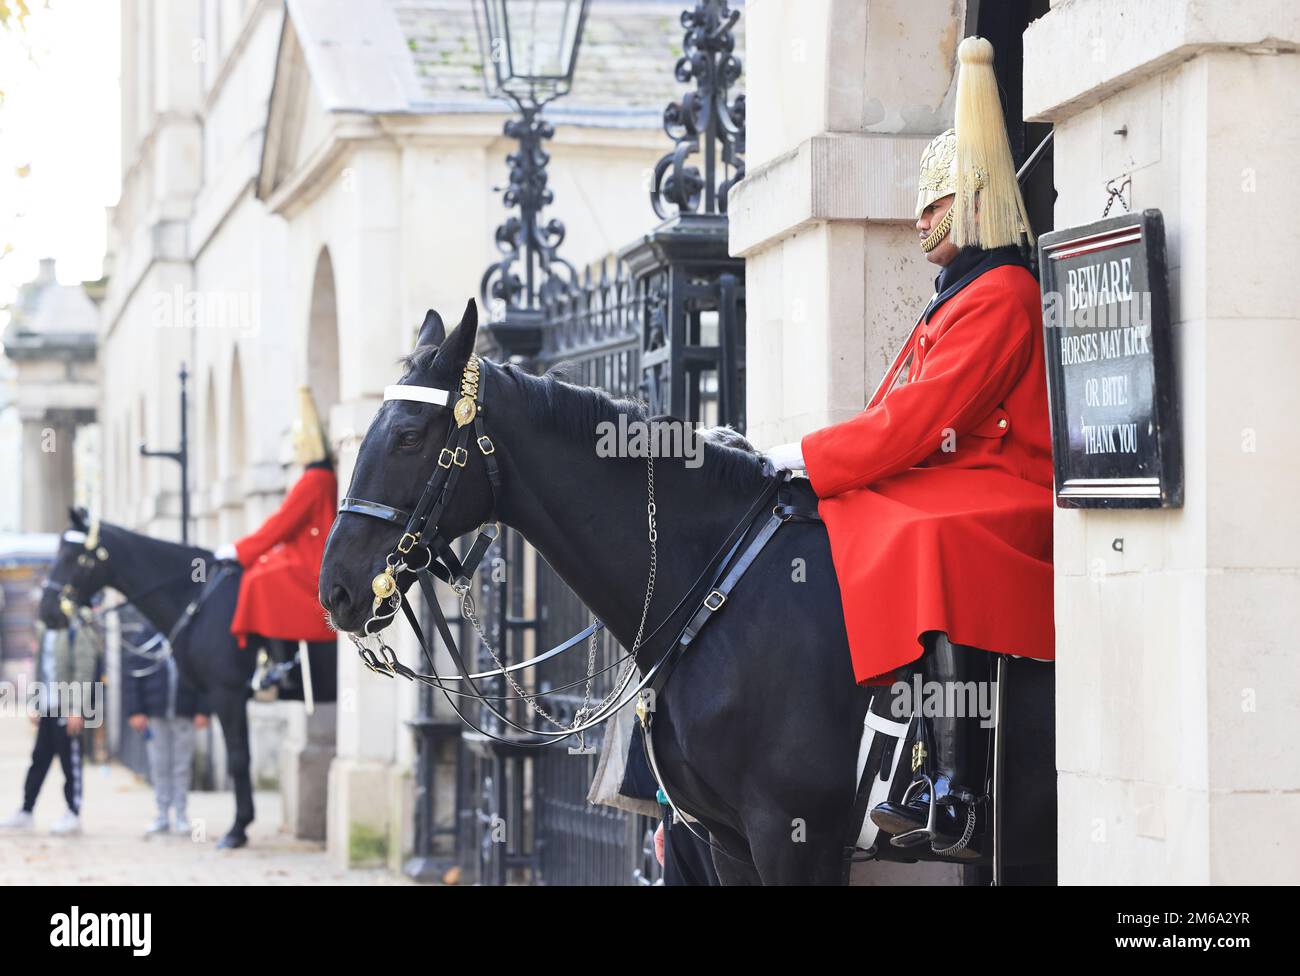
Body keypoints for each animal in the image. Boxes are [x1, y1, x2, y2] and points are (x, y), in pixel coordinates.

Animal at [40, 512, 335, 847]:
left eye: (72, 556)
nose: (46, 611)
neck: (197, 599)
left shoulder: (227, 694)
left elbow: (239, 758)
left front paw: (238, 829)